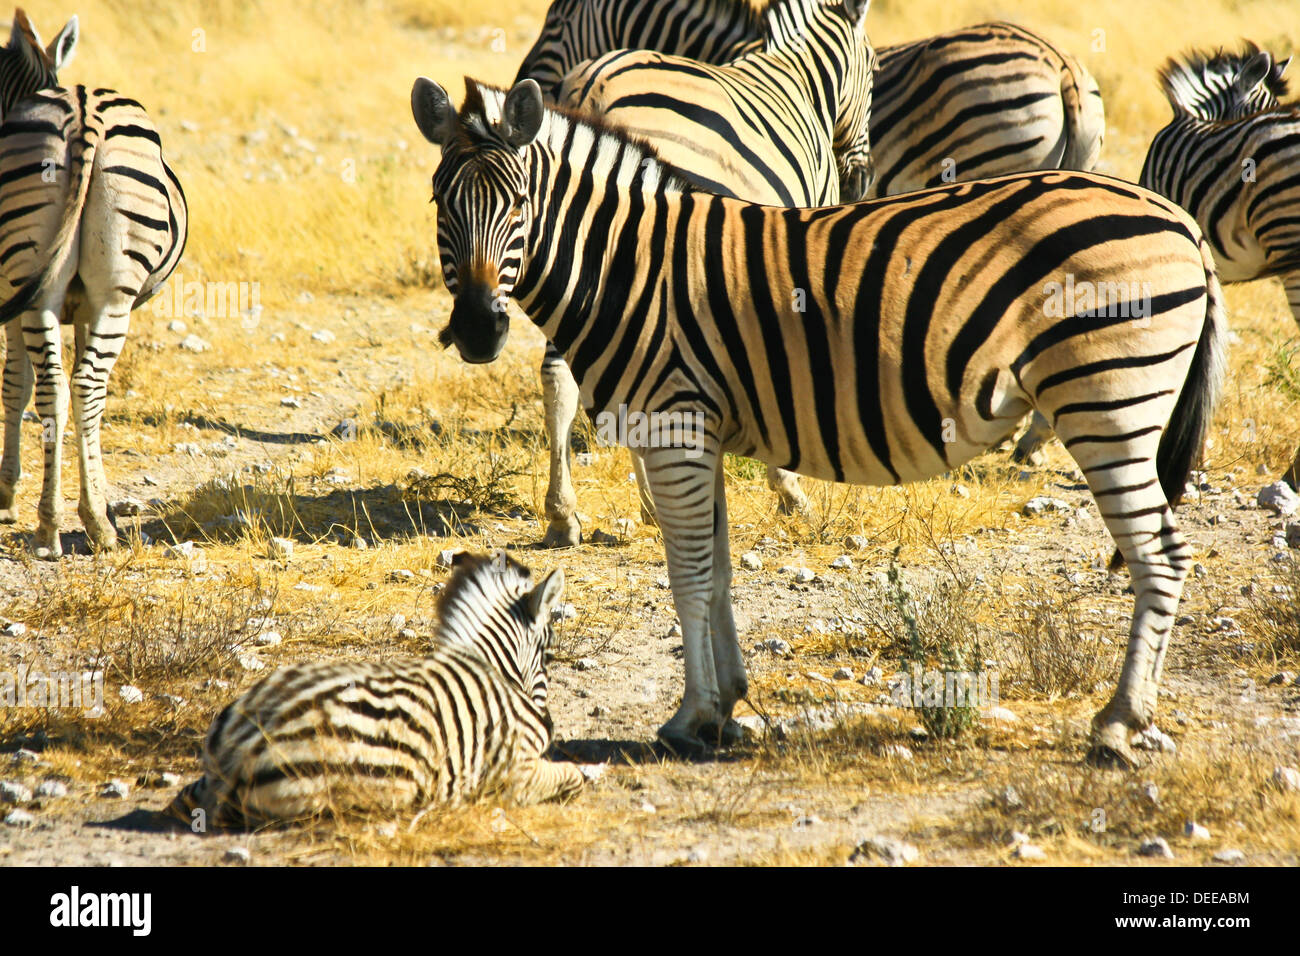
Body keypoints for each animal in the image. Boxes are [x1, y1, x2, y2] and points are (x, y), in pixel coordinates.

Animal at [0, 26, 187, 559]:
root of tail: (85, 108)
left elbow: (15, 385)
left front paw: (8, 495)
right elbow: (23, 385)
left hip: (47, 288)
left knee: (62, 385)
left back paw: (61, 525)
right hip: (106, 295)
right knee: (77, 385)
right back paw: (77, 525)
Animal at [166, 551, 583, 829]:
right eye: (549, 654)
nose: (548, 725)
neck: (489, 667)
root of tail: (243, 747)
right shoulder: (516, 775)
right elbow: (573, 775)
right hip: (375, 782)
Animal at [412, 76, 1227, 770]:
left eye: (519, 203)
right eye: (439, 205)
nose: (479, 331)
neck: (630, 269)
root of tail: (1179, 218)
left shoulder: (675, 427)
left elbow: (687, 573)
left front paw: (691, 718)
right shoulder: (702, 434)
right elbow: (718, 572)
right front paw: (728, 705)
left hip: (1107, 401)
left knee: (1161, 557)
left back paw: (1119, 723)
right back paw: (1132, 718)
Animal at [532, 0, 874, 546]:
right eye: (876, 71)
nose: (861, 181)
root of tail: (593, 90)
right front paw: (790, 488)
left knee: (565, 377)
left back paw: (575, 514)